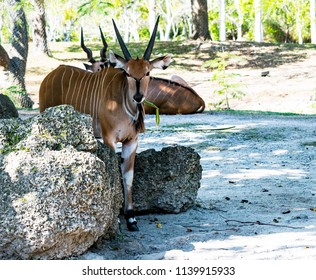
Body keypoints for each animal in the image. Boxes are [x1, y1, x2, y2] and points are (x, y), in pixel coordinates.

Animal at [40, 18, 173, 232]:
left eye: (147, 72)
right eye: (127, 73)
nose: (138, 96)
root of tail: (52, 74)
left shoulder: (131, 141)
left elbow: (128, 176)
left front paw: (131, 218)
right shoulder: (109, 138)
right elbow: (114, 173)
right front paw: (116, 220)